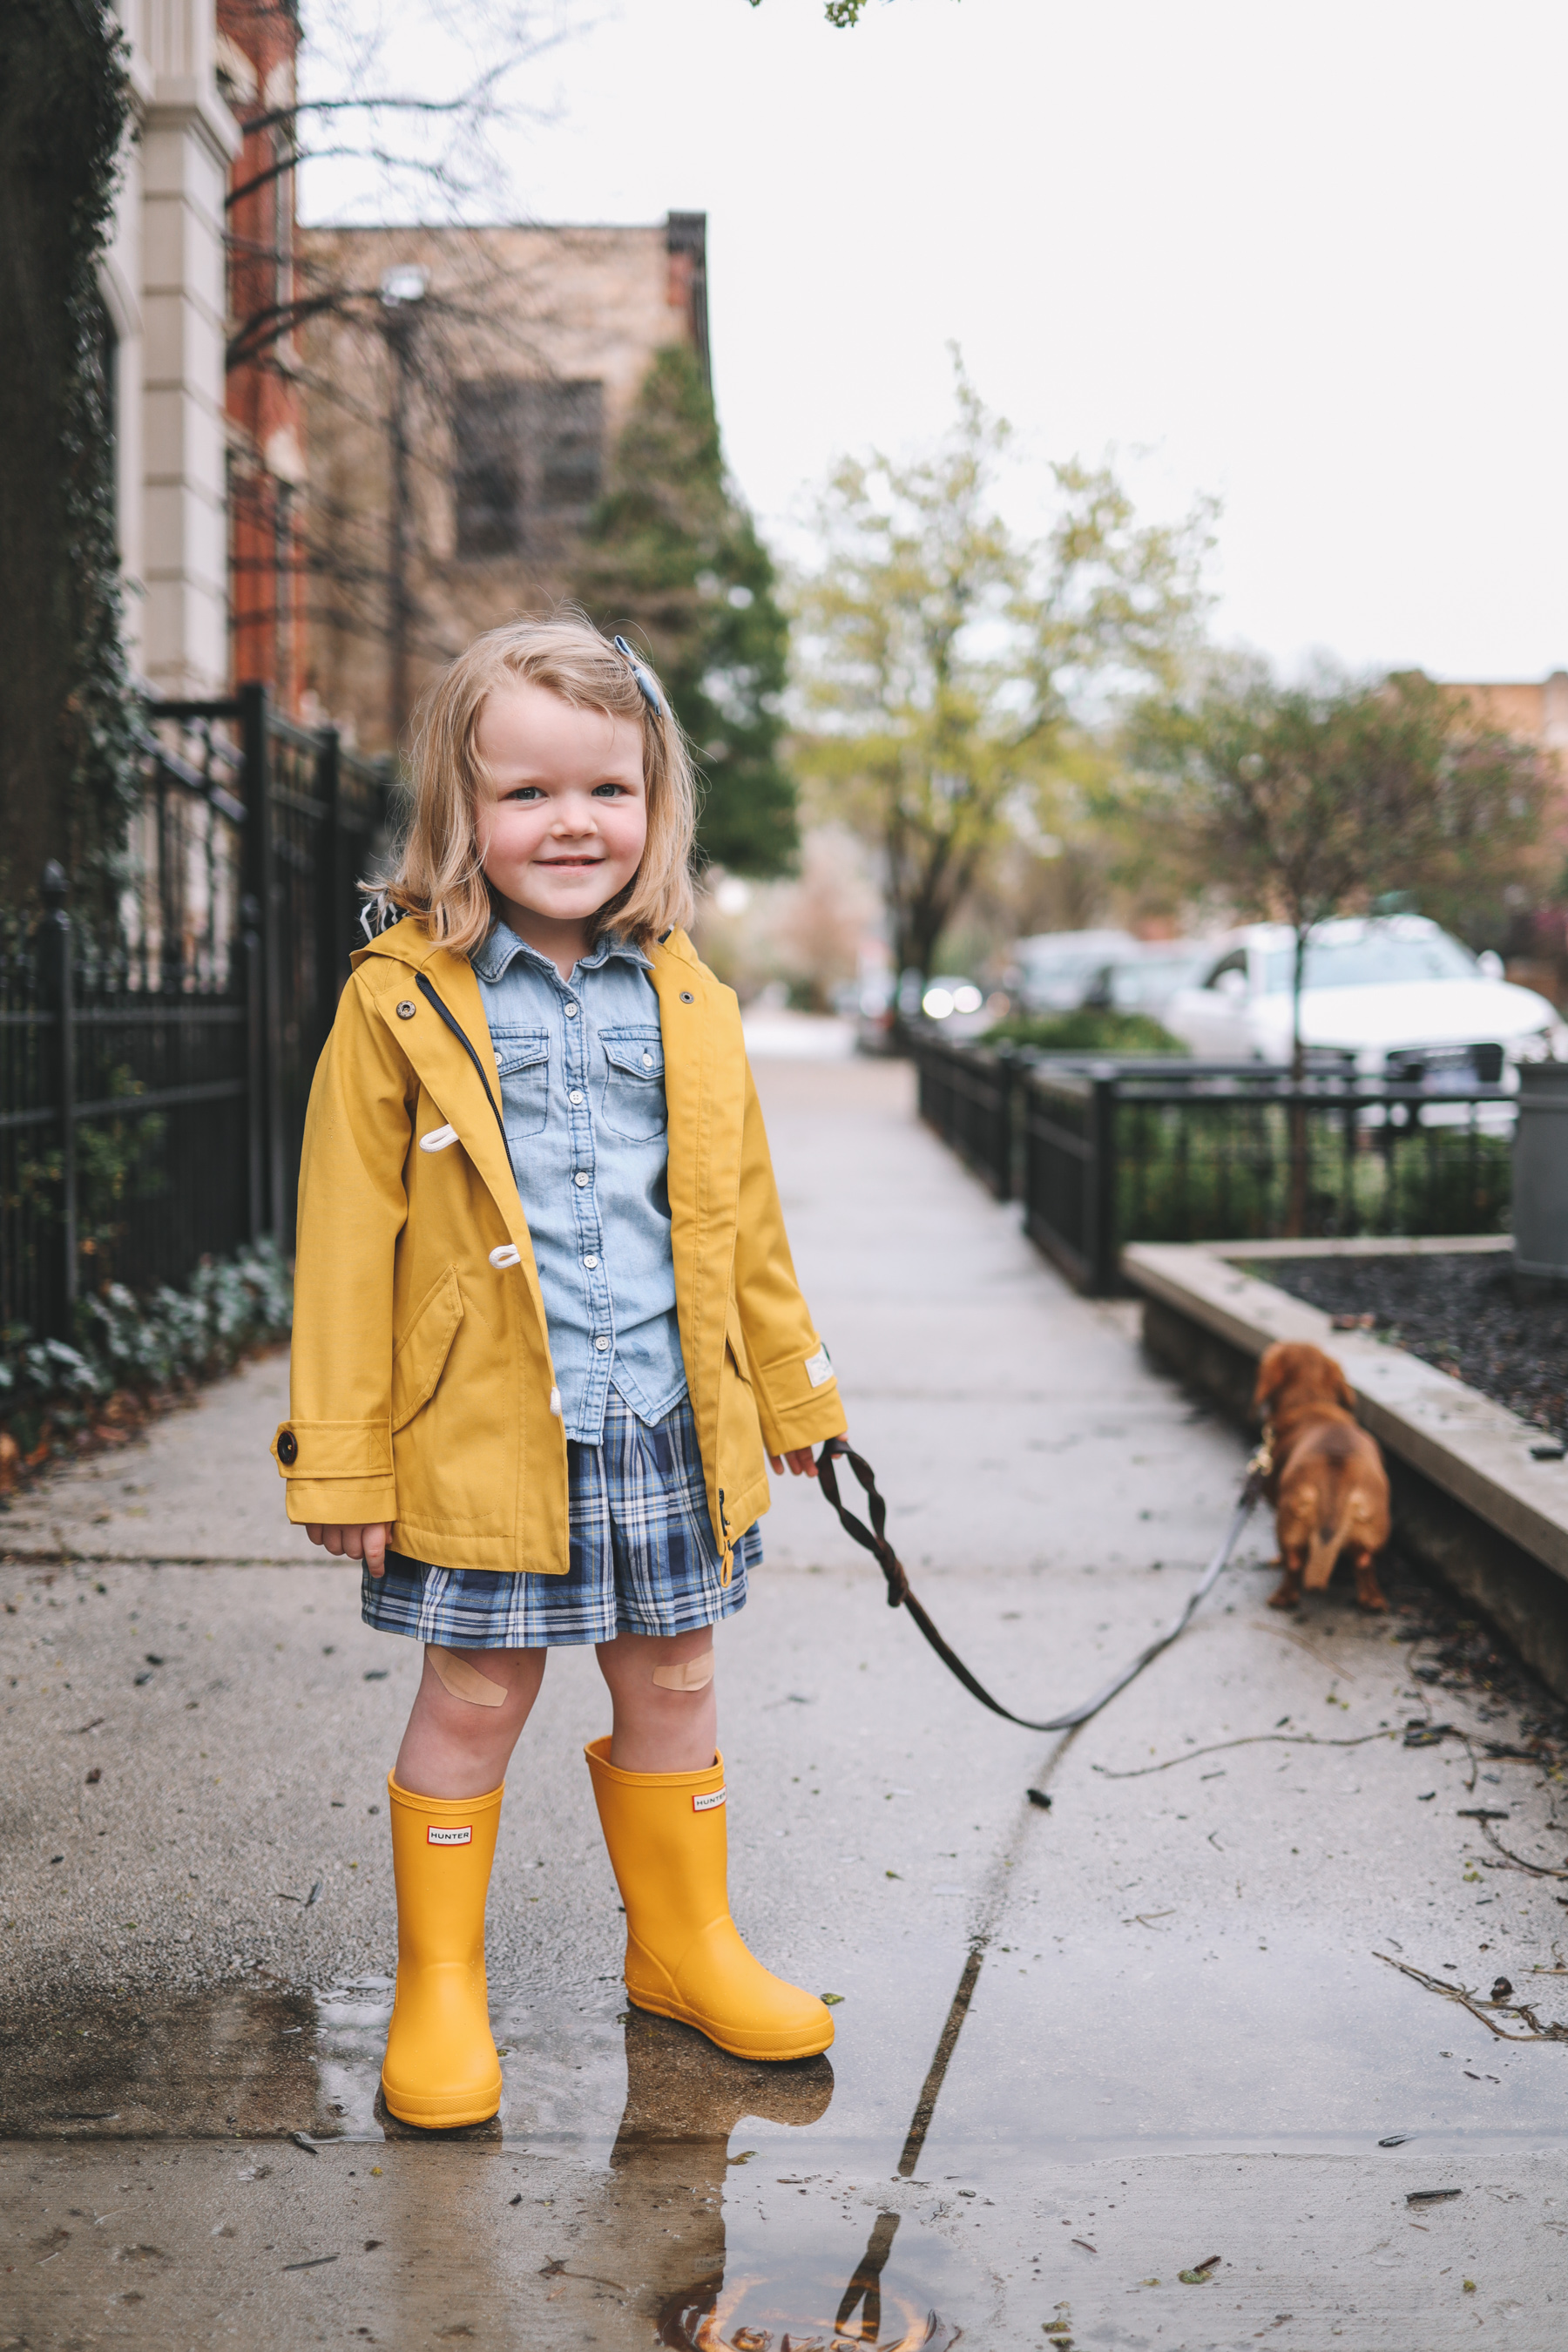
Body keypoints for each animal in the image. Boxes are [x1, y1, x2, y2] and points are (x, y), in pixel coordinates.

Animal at [1260, 1345, 1391, 1618]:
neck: (1311, 1402)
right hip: (1373, 1531)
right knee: (1365, 1564)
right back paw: (1373, 1600)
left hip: (1287, 1525)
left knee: (1293, 1564)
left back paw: (1282, 1597)